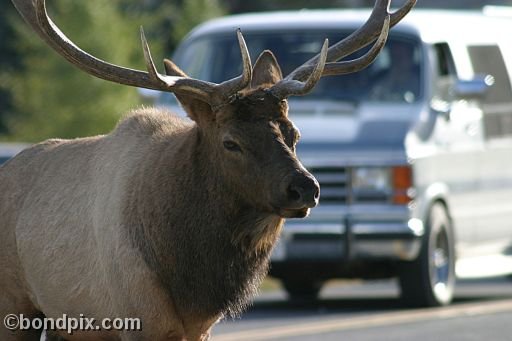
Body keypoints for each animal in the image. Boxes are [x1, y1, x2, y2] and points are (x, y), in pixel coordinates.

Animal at [1, 0, 416, 338]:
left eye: (294, 133)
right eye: (230, 142)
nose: (305, 188)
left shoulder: (200, 327)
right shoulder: (136, 316)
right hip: (16, 305)